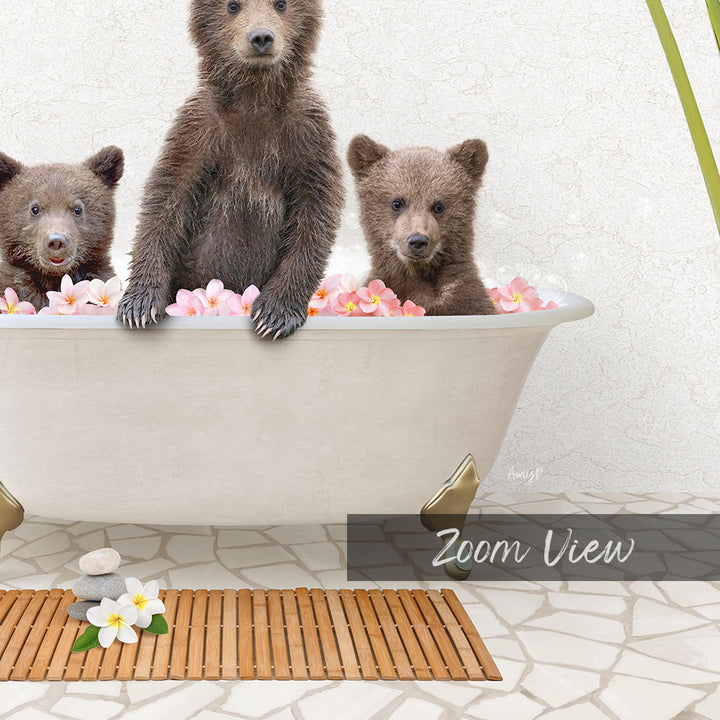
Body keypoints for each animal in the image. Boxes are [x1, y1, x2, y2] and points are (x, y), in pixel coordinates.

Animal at [117, 0, 344, 339]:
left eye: (281, 4)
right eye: (233, 6)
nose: (261, 37)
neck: (255, 98)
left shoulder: (307, 134)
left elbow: (315, 212)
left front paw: (273, 315)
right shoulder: (200, 128)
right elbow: (167, 198)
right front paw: (139, 304)